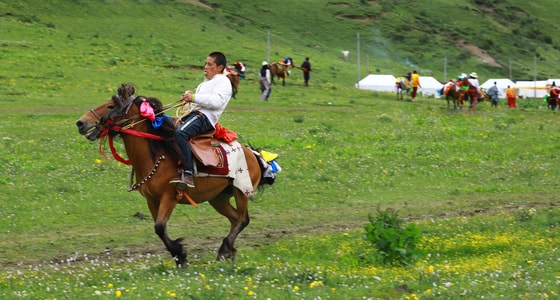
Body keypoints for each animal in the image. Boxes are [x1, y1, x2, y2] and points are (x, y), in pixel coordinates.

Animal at [75, 82, 272, 268]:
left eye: (111, 106)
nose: (81, 122)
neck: (156, 155)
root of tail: (253, 154)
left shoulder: (169, 197)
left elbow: (160, 227)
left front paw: (181, 254)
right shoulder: (152, 200)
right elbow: (159, 229)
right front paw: (179, 257)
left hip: (241, 191)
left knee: (243, 219)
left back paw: (225, 249)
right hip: (218, 198)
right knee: (235, 219)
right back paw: (227, 251)